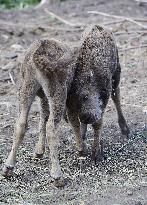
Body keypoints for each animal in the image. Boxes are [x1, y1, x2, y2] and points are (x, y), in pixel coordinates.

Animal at [2, 24, 129, 187]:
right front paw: (87, 149)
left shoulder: (46, 97)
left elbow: (44, 117)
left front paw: (39, 152)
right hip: (58, 93)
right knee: (53, 127)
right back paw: (58, 176)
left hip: (26, 89)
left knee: (21, 124)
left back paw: (8, 168)